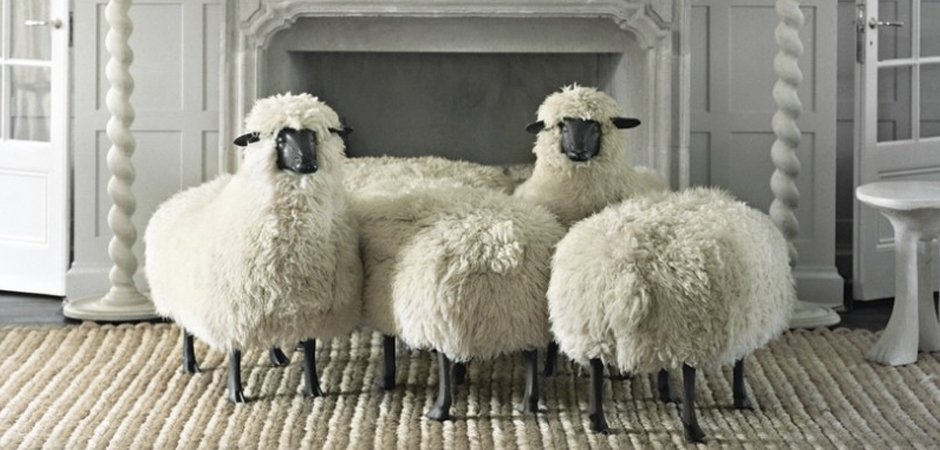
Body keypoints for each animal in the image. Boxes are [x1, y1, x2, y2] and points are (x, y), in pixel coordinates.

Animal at [145, 92, 362, 403]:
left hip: (270, 303)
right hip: (185, 295)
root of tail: (181, 196)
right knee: (186, 330)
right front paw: (236, 393)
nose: (307, 162)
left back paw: (277, 356)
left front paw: (314, 389)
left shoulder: (310, 306)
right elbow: (235, 353)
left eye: (314, 136)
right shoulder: (234, 308)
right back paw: (190, 365)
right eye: (280, 139)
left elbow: (309, 349)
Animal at [351, 180, 565, 419]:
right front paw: (460, 373)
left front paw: (386, 380)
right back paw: (530, 402)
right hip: (522, 314)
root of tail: (506, 251)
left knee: (444, 357)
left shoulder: (387, 304)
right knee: (530, 353)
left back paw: (439, 409)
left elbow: (388, 343)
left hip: (443, 314)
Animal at [547, 187, 795, 442]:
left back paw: (598, 421)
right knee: (689, 374)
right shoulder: (740, 326)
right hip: (690, 330)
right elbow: (739, 363)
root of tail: (626, 274)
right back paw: (692, 430)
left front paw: (666, 392)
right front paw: (741, 398)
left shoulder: (664, 336)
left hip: (594, 327)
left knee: (596, 366)